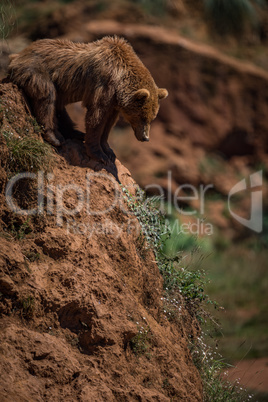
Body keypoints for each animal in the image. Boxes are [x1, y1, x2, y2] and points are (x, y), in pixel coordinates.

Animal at [7, 36, 168, 164]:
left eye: (152, 118)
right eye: (142, 117)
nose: (146, 138)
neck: (120, 77)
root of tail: (17, 55)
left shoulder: (114, 102)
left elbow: (109, 122)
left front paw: (108, 150)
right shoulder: (104, 86)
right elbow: (96, 117)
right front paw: (99, 155)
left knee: (59, 106)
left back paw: (75, 133)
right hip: (37, 71)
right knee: (47, 98)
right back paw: (55, 137)